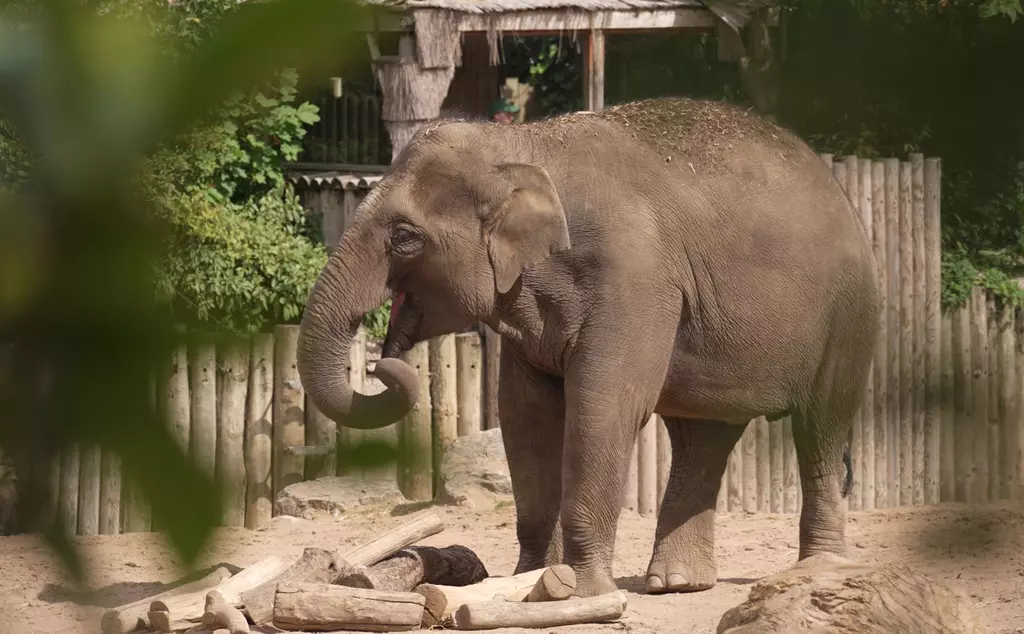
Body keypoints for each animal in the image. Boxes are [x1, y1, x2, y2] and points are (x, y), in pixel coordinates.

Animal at [296, 97, 881, 599]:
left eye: (405, 238)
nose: (385, 360)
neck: (524, 145)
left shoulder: (636, 275)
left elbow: (604, 404)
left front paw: (579, 591)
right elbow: (525, 414)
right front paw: (529, 579)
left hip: (850, 315)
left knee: (821, 425)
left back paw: (818, 567)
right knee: (703, 436)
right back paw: (677, 584)